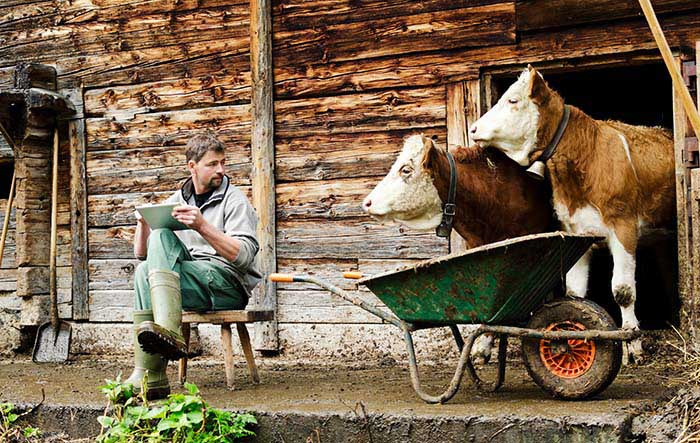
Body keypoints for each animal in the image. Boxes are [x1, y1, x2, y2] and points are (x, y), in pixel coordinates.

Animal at [468, 67, 676, 364]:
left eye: (513, 100)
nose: (473, 129)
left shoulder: (623, 227)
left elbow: (623, 291)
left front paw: (633, 344)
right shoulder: (576, 233)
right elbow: (575, 293)